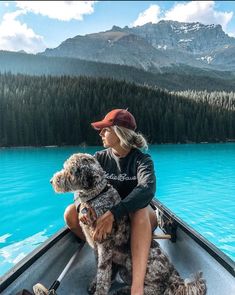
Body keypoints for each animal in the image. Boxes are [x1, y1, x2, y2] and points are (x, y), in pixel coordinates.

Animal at [51, 154, 206, 295]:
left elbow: (103, 276)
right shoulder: (96, 246)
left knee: (156, 288)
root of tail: (173, 274)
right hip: (125, 269)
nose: (51, 181)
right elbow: (100, 270)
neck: (98, 195)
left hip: (136, 264)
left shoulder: (104, 247)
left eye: (70, 171)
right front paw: (95, 283)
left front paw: (99, 290)